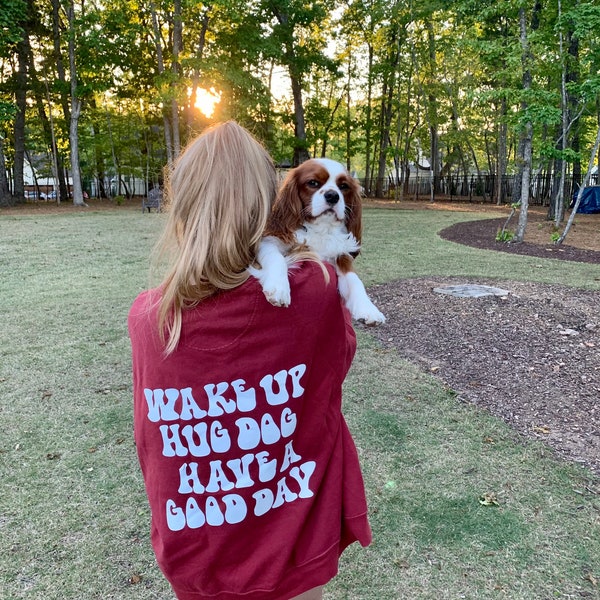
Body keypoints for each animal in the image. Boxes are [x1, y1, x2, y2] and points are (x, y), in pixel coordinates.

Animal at [248, 155, 384, 324]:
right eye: (313, 183)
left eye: (343, 186)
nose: (333, 195)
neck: (321, 228)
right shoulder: (270, 241)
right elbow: (276, 257)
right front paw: (279, 288)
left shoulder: (341, 256)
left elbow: (354, 279)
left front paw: (368, 308)